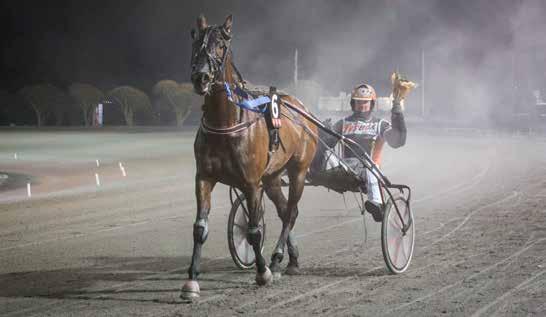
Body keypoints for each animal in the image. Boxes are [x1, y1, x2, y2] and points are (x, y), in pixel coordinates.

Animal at [181, 13, 316, 298]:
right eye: (196, 42)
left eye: (221, 45)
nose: (201, 77)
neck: (226, 121)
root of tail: (300, 106)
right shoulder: (204, 178)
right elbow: (200, 228)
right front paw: (192, 280)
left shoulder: (252, 183)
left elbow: (254, 231)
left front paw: (262, 272)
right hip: (273, 177)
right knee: (285, 210)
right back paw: (291, 260)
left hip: (298, 171)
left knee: (290, 212)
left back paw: (276, 258)